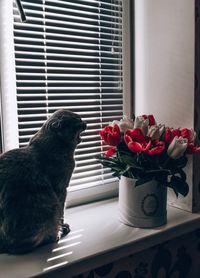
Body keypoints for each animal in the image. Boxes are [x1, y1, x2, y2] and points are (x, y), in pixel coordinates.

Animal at [0, 108, 86, 254]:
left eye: (81, 119)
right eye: (77, 121)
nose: (85, 123)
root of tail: (3, 245)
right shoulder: (61, 189)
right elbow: (62, 211)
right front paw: (62, 226)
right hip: (48, 208)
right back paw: (58, 234)